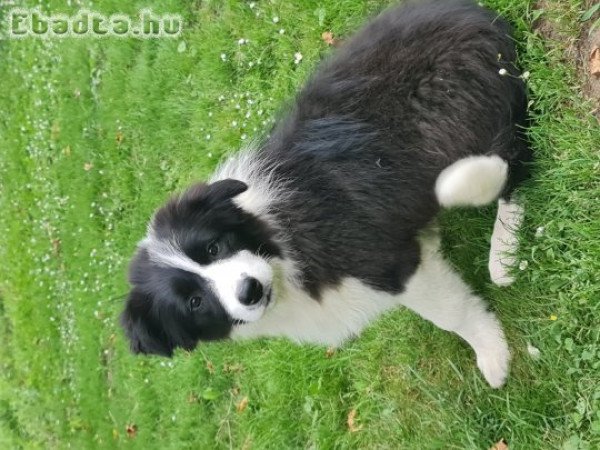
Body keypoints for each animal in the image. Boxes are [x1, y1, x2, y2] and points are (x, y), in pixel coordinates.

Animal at [120, 0, 528, 386]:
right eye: (194, 302)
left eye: (213, 247)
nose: (250, 290)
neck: (280, 247)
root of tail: (474, 12)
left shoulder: (385, 260)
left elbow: (450, 314)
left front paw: (492, 352)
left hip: (441, 110)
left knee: (515, 157)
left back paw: (502, 251)